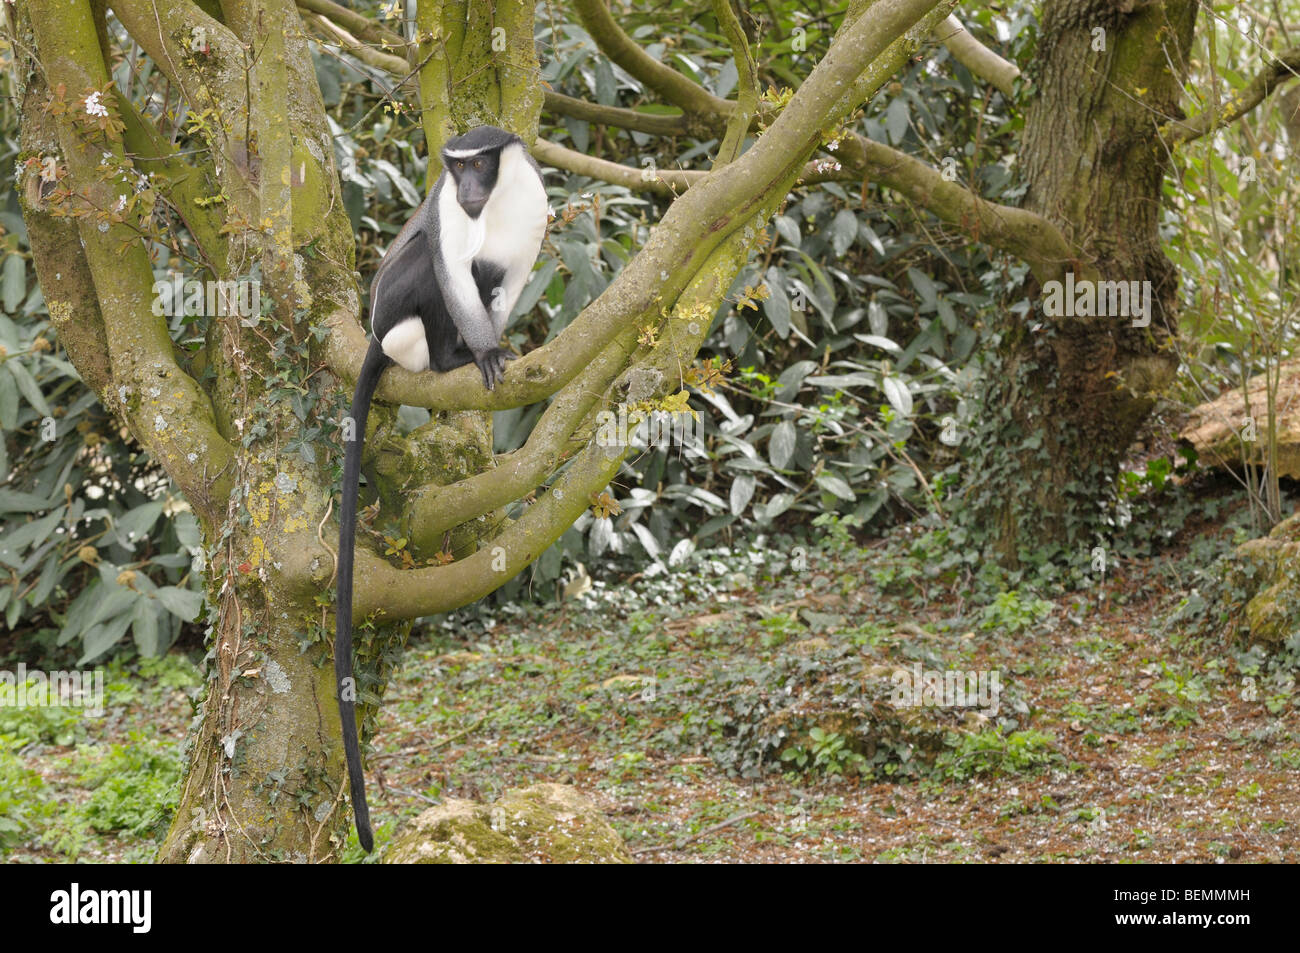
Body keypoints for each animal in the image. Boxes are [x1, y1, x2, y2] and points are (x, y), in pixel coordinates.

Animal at [335, 124, 548, 847]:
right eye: (455, 169)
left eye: (481, 162)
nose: (466, 187)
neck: (494, 200)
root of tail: (375, 335)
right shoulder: (443, 212)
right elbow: (450, 269)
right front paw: (483, 353)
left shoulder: (532, 201)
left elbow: (510, 274)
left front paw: (499, 341)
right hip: (396, 314)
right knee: (433, 264)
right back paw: (454, 356)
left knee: (490, 275)